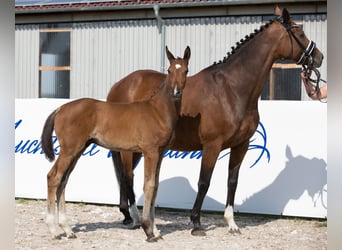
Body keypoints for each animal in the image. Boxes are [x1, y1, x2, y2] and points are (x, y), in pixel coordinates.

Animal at [39, 46, 191, 241]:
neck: (157, 110)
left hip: (77, 150)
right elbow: (149, 185)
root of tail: (60, 108)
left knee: (63, 180)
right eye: (170, 70)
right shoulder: (150, 152)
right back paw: (53, 229)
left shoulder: (160, 153)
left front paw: (156, 231)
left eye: (186, 71)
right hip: (69, 150)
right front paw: (149, 231)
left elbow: (155, 187)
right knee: (54, 177)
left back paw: (67, 229)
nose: (176, 92)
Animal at [106, 6, 324, 236]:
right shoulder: (212, 145)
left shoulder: (241, 145)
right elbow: (204, 181)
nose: (319, 57)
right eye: (300, 32)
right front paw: (196, 223)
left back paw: (128, 215)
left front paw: (232, 223)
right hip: (130, 150)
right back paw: (137, 218)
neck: (232, 89)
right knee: (128, 176)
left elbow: (232, 182)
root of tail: (119, 86)